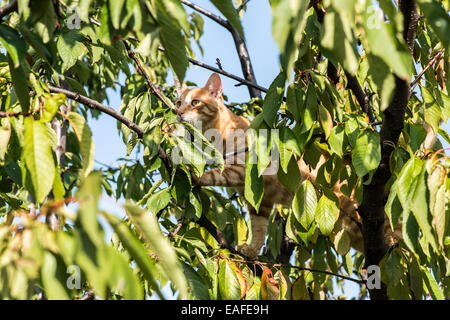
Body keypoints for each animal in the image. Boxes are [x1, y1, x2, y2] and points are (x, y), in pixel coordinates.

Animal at [176, 74, 400, 258]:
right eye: (178, 102)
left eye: (195, 102)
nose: (178, 112)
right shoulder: (259, 201)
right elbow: (259, 228)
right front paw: (251, 250)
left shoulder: (243, 169)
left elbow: (215, 174)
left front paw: (193, 174)